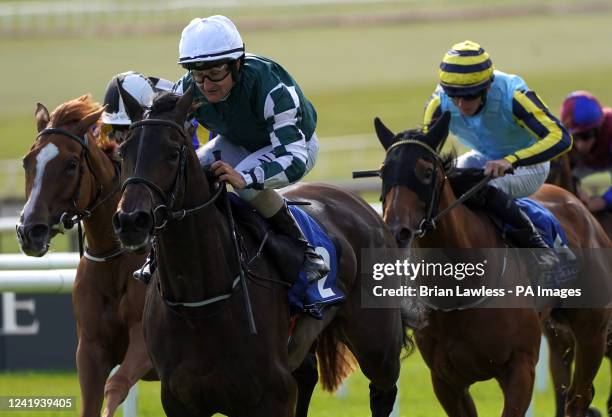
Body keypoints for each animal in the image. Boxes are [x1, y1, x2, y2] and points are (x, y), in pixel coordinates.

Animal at [17, 95, 155, 416]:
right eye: (27, 161)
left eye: (71, 164)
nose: (30, 231)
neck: (114, 259)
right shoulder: (90, 349)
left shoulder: (144, 342)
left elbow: (116, 385)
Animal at [112, 86, 414, 414]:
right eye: (123, 151)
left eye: (172, 152)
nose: (131, 220)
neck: (200, 303)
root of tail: (358, 203)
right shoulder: (178, 399)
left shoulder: (273, 396)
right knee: (308, 375)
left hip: (377, 343)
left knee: (383, 389)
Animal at [370, 112, 608, 414]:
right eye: (383, 172)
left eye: (426, 172)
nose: (396, 230)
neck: (462, 285)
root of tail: (578, 206)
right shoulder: (446, 382)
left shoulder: (520, 367)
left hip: (592, 331)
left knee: (578, 397)